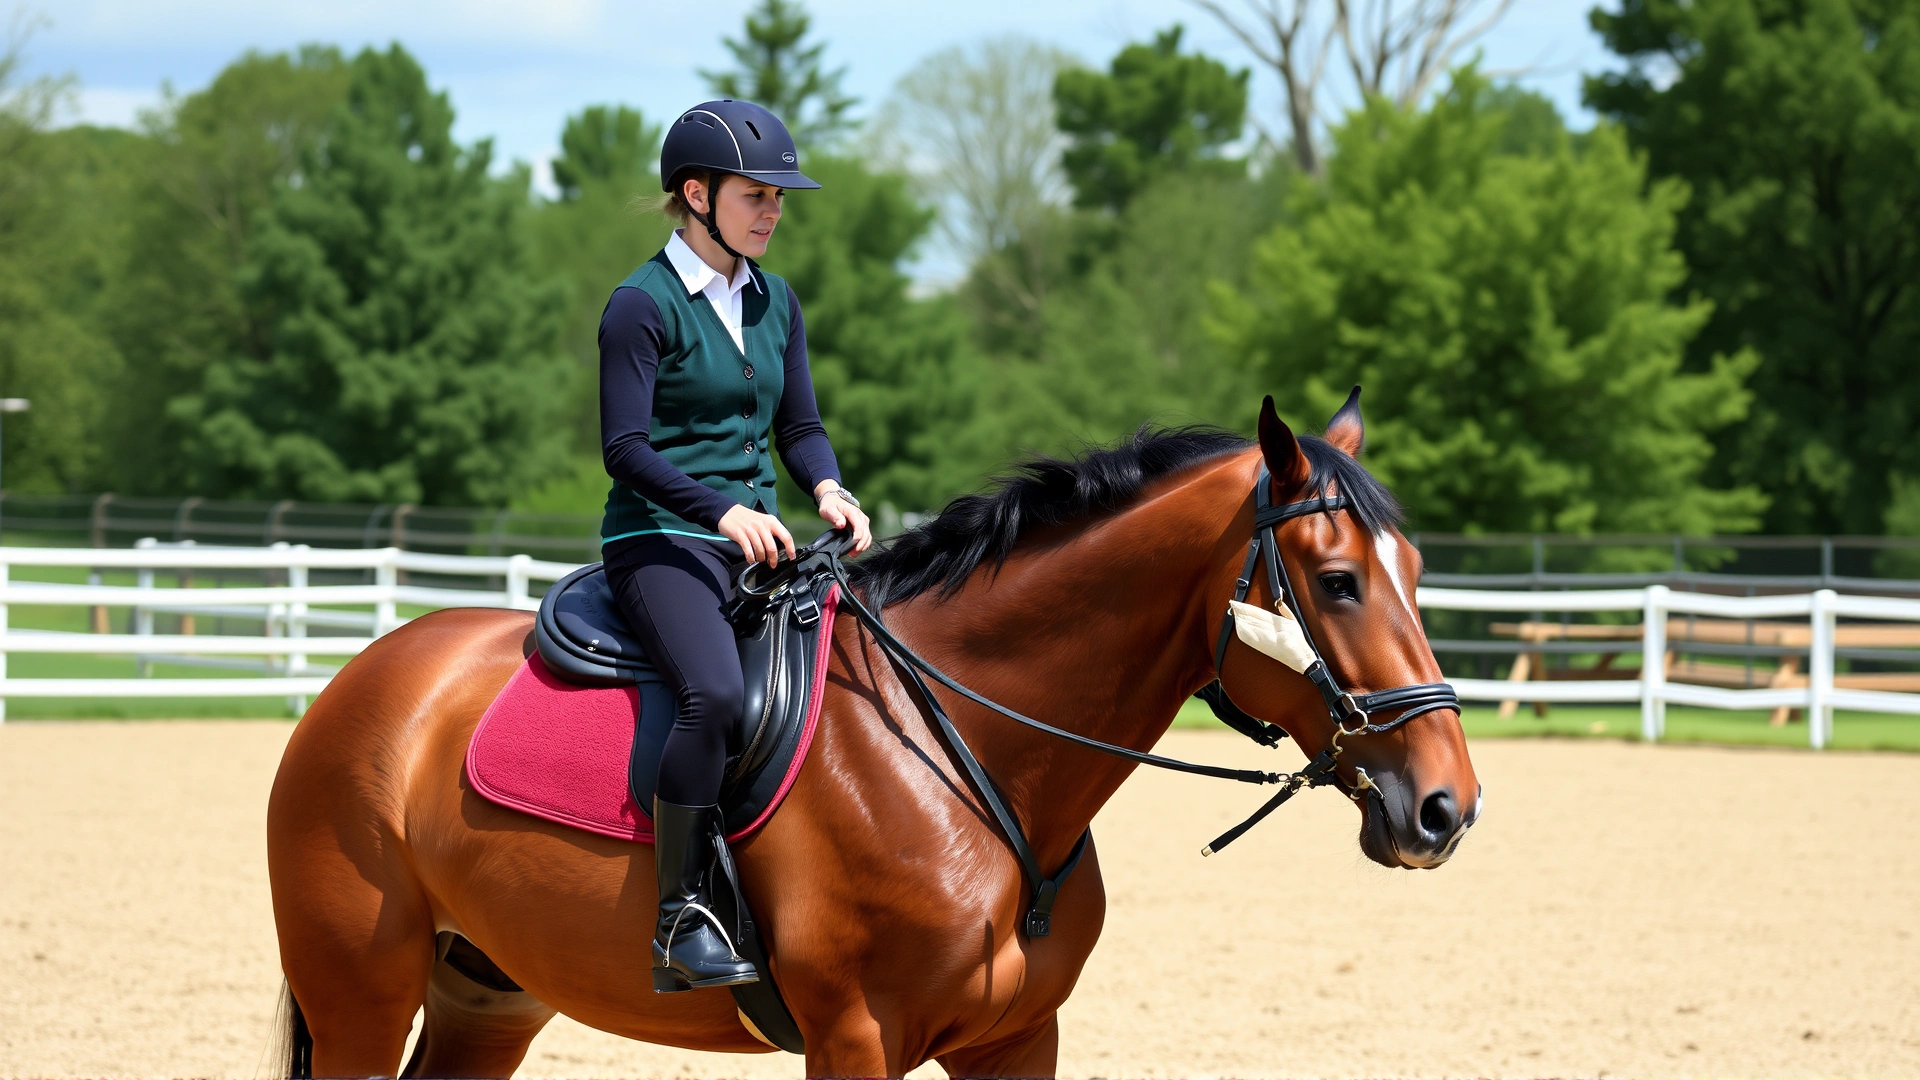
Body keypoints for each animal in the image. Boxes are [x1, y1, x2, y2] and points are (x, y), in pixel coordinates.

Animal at [266, 392, 1480, 1078]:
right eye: (1337, 581)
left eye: (1418, 572)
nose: (1446, 807)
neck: (971, 753)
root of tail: (363, 679)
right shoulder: (856, 1040)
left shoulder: (1015, 1043)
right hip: (361, 995)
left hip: (487, 994)